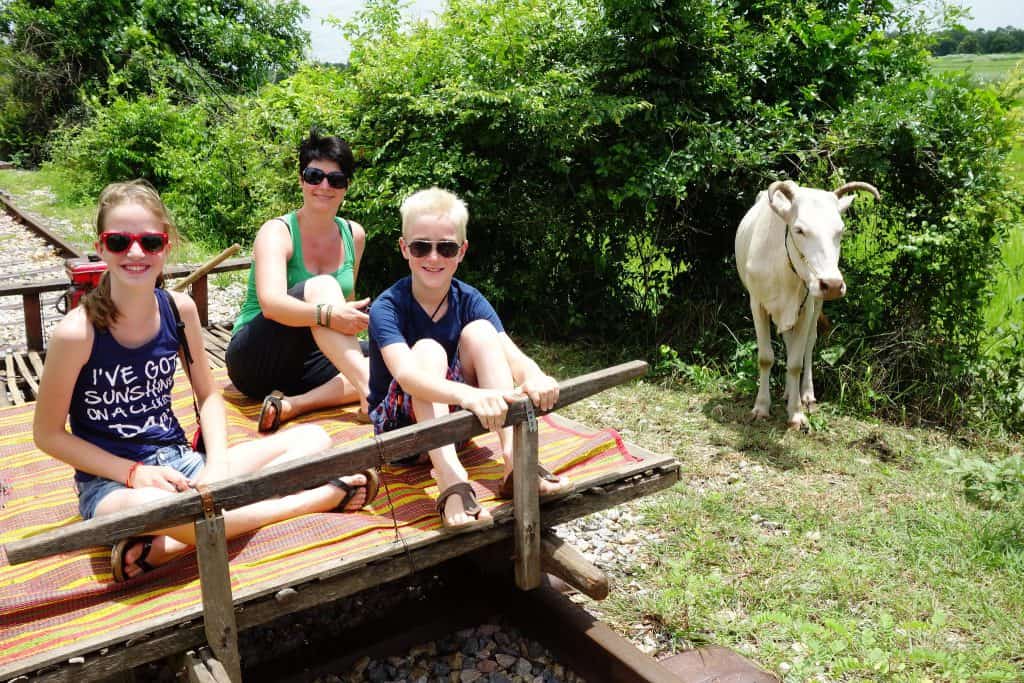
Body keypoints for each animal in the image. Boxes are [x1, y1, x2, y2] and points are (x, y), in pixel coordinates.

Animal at [737, 180, 880, 428]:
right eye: (799, 230)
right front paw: (761, 407)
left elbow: (796, 362)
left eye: (840, 231)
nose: (832, 285)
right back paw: (787, 392)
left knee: (808, 345)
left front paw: (796, 412)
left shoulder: (807, 307)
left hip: (816, 303)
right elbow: (765, 358)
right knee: (789, 340)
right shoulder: (757, 304)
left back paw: (804, 394)